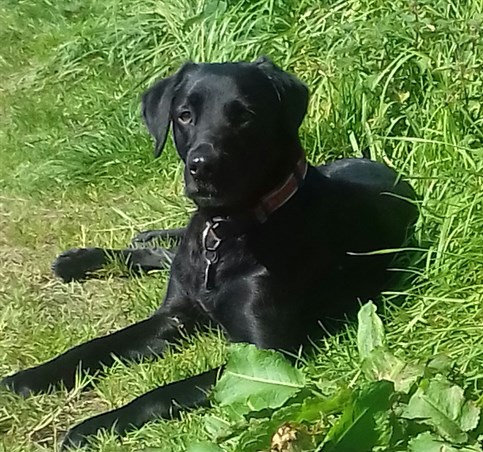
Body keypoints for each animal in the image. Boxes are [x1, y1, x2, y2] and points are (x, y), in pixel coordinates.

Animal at [0, 58, 416, 450]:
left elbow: (162, 393)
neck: (225, 232)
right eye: (184, 115)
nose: (202, 167)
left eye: (245, 114)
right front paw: (29, 378)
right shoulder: (174, 315)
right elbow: (95, 346)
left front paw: (95, 425)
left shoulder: (268, 352)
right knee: (168, 249)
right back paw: (87, 257)